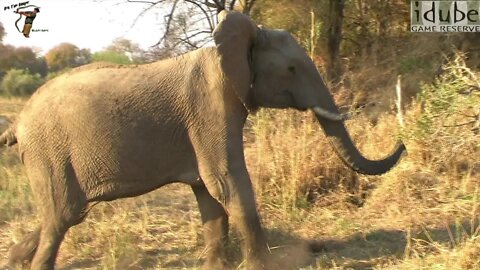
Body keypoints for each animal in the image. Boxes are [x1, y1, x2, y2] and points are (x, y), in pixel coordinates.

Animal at [0, 10, 404, 268]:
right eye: (291, 69)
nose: (403, 142)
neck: (231, 43)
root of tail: (18, 123)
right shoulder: (209, 106)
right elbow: (226, 182)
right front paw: (264, 266)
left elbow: (208, 193)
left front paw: (216, 268)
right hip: (49, 152)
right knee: (64, 213)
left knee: (64, 213)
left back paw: (16, 258)